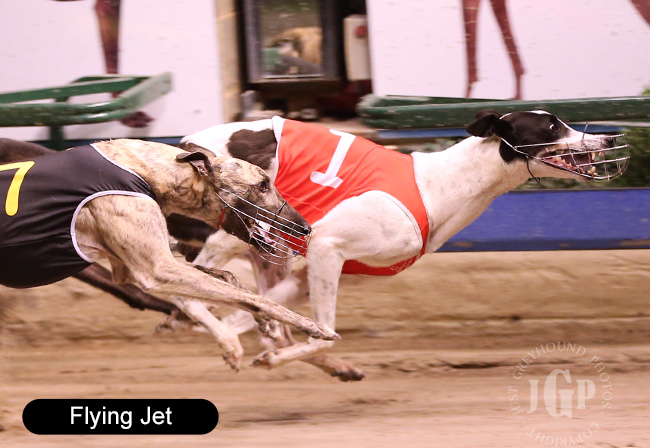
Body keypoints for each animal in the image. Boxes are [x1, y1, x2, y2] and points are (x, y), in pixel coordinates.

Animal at [0, 138, 338, 370]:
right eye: (263, 184)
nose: (305, 227)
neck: (146, 171)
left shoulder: (130, 266)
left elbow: (231, 282)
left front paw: (262, 321)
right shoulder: (157, 268)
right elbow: (255, 295)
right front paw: (313, 326)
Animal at [178, 110, 629, 380]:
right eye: (552, 127)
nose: (609, 140)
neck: (441, 184)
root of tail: (182, 146)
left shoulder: (314, 273)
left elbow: (276, 319)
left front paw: (272, 352)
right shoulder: (327, 246)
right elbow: (323, 332)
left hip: (269, 254)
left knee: (254, 319)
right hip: (227, 234)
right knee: (187, 299)